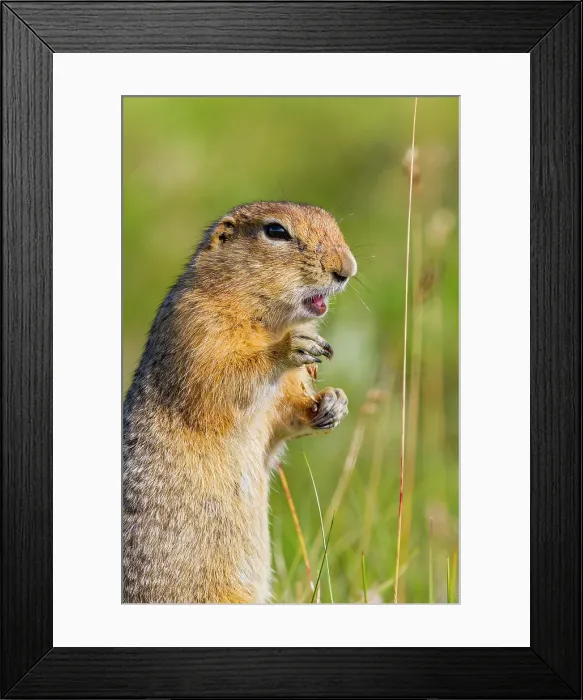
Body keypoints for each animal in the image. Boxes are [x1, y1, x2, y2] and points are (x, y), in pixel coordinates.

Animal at [123, 201, 357, 603]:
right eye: (276, 231)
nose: (347, 269)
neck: (269, 320)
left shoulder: (286, 386)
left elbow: (284, 411)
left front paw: (332, 403)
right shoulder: (198, 326)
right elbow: (222, 380)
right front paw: (291, 348)